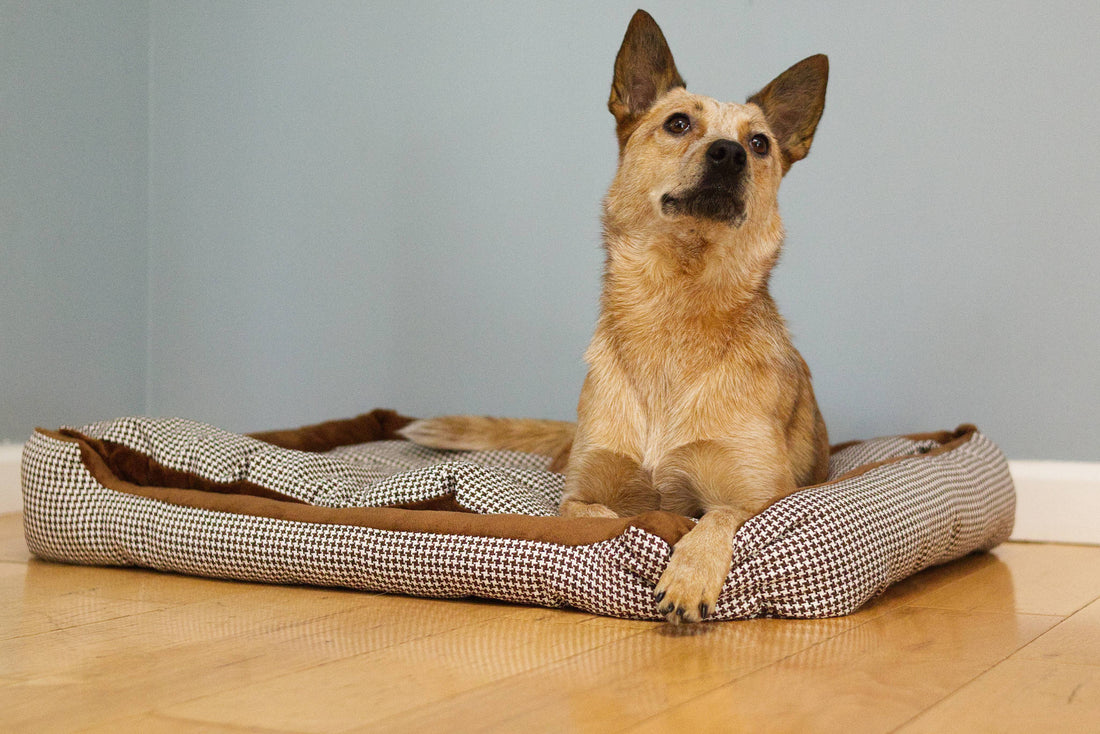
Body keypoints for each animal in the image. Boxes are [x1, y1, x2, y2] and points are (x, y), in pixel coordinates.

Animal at [400, 8, 827, 625]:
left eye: (760, 142)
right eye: (678, 123)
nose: (730, 153)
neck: (674, 308)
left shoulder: (760, 498)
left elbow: (717, 516)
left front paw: (689, 575)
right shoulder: (581, 492)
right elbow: (602, 517)